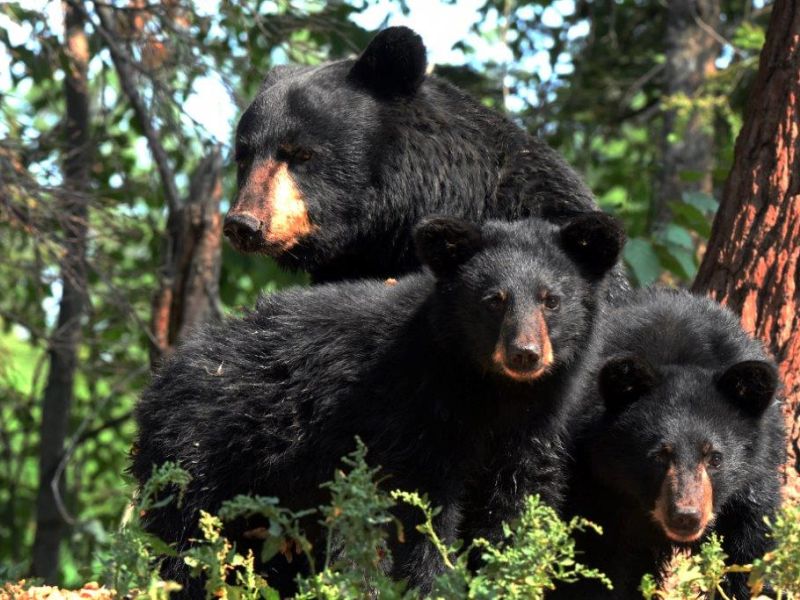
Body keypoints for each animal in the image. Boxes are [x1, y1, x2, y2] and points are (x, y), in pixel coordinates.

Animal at [131, 211, 626, 596]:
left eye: (551, 300)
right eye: (494, 300)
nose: (525, 354)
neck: (489, 389)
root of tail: (159, 380)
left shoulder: (533, 427)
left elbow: (515, 503)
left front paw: (506, 575)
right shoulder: (408, 414)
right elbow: (420, 513)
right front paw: (431, 583)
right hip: (198, 457)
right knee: (183, 545)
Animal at [552, 287, 786, 600]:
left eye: (715, 458)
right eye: (660, 455)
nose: (686, 516)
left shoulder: (748, 489)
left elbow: (750, 554)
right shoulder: (597, 486)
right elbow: (594, 563)